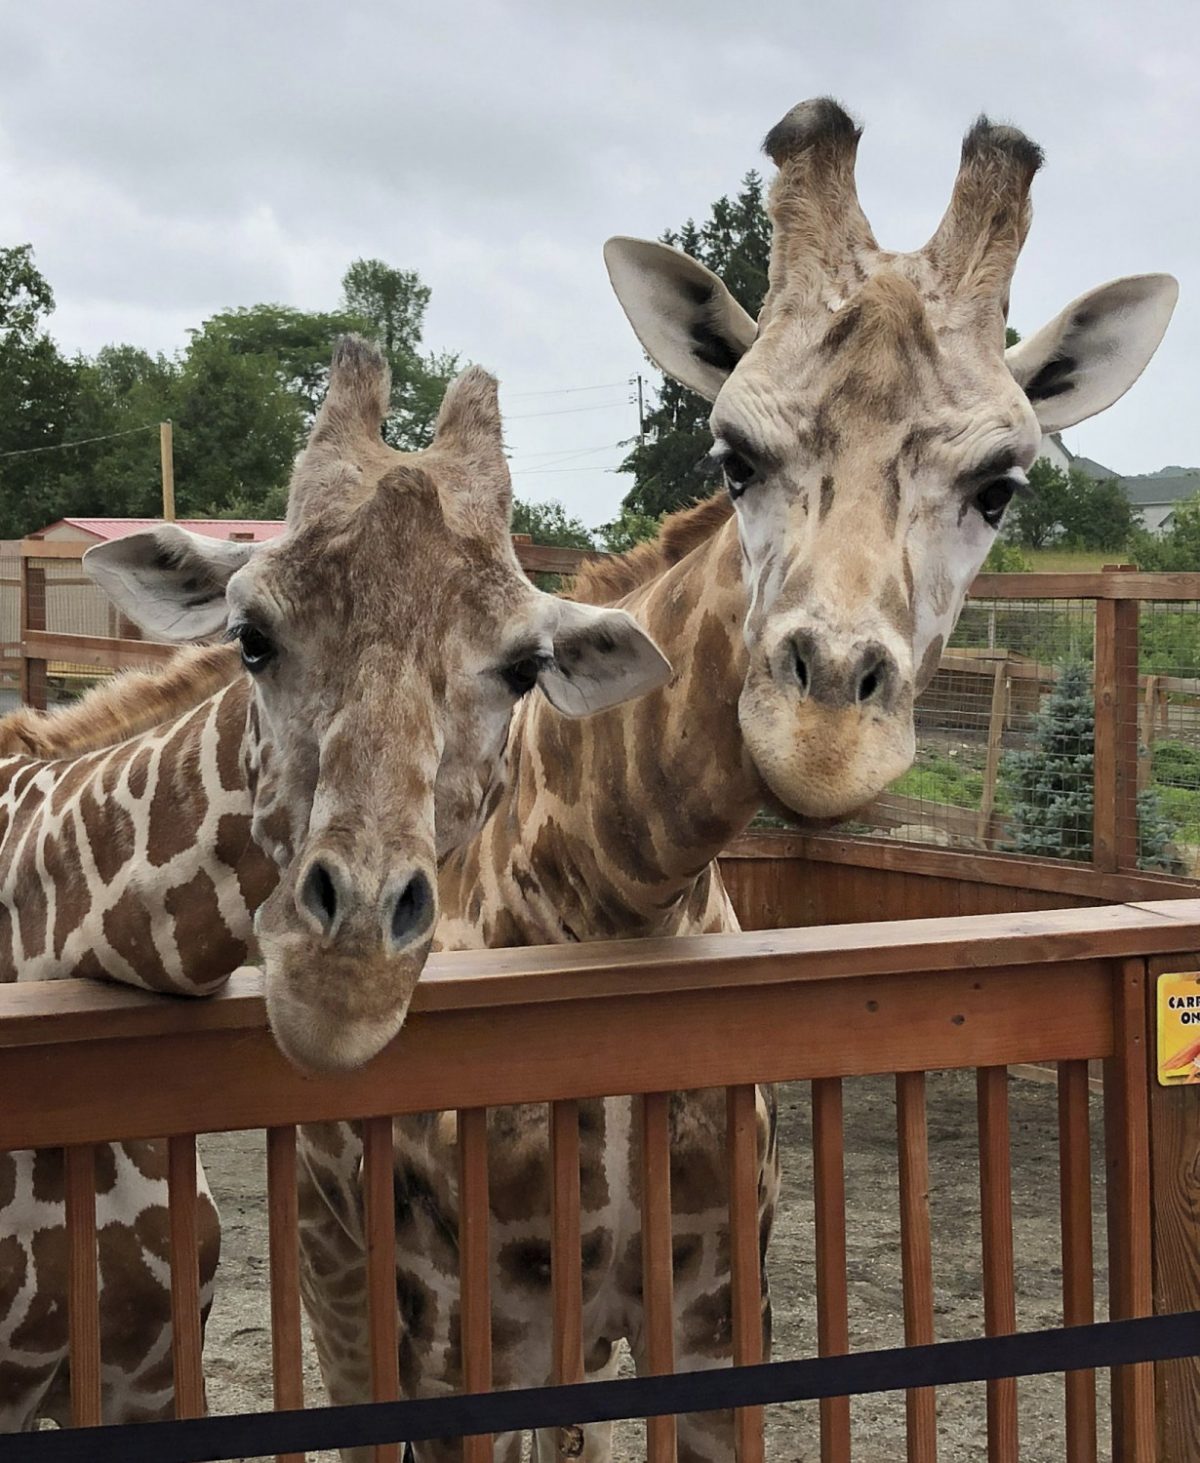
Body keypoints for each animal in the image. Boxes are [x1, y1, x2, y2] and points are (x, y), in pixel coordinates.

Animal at [292, 103, 1182, 1463]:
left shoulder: (716, 1318)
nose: (823, 733)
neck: (613, 897)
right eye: (732, 454)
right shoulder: (468, 1340)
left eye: (1001, 486)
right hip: (346, 1277)